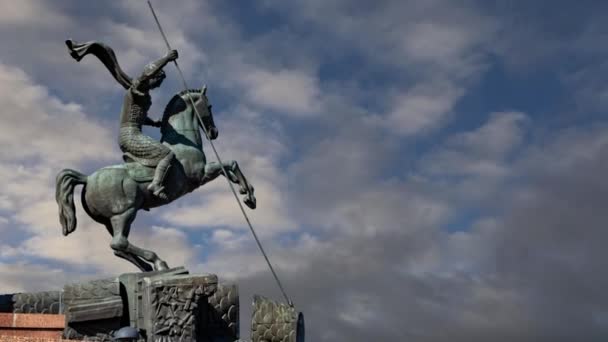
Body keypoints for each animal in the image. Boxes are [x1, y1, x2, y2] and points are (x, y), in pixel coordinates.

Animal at [55, 87, 255, 272]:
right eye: (210, 106)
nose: (214, 132)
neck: (182, 143)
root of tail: (87, 178)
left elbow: (227, 168)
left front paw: (244, 191)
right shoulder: (201, 175)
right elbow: (230, 163)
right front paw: (250, 198)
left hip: (110, 221)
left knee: (119, 248)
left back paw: (149, 268)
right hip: (125, 212)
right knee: (119, 243)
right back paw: (159, 263)